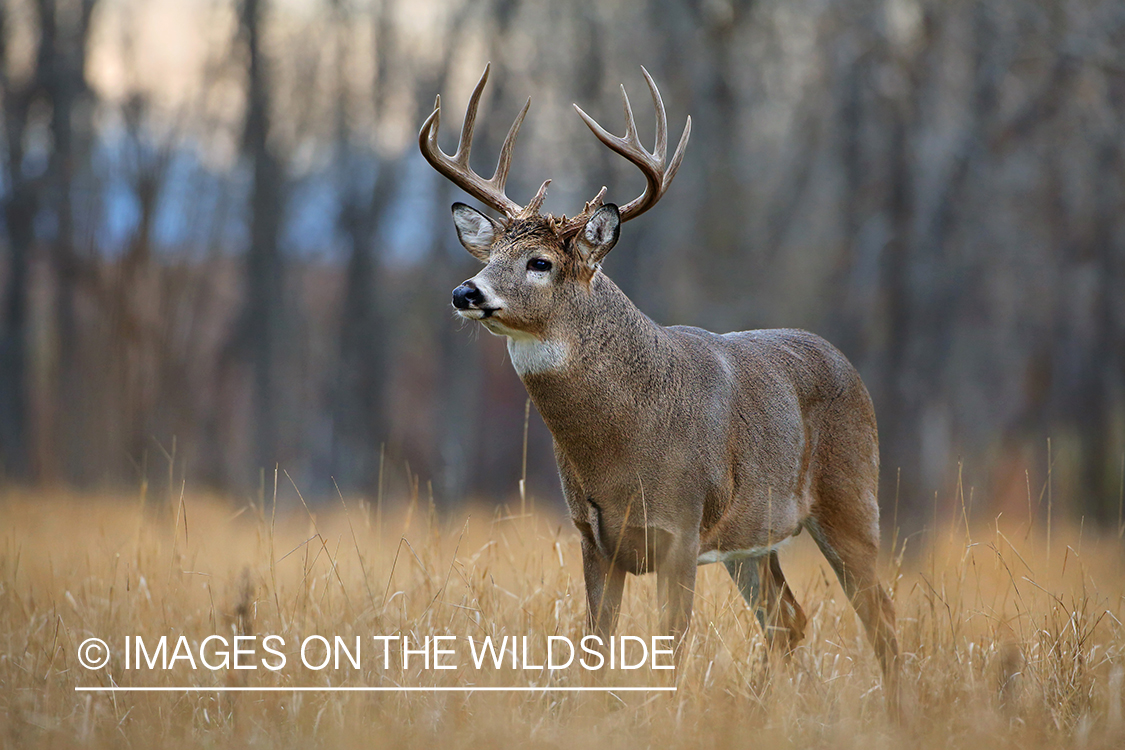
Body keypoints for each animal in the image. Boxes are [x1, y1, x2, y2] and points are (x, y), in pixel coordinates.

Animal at [418, 66, 900, 710]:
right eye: (491, 251)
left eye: (541, 262)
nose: (465, 292)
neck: (622, 443)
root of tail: (847, 364)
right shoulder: (594, 536)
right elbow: (594, 650)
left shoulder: (681, 530)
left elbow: (672, 649)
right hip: (754, 538)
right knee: (788, 619)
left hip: (852, 497)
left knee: (880, 615)